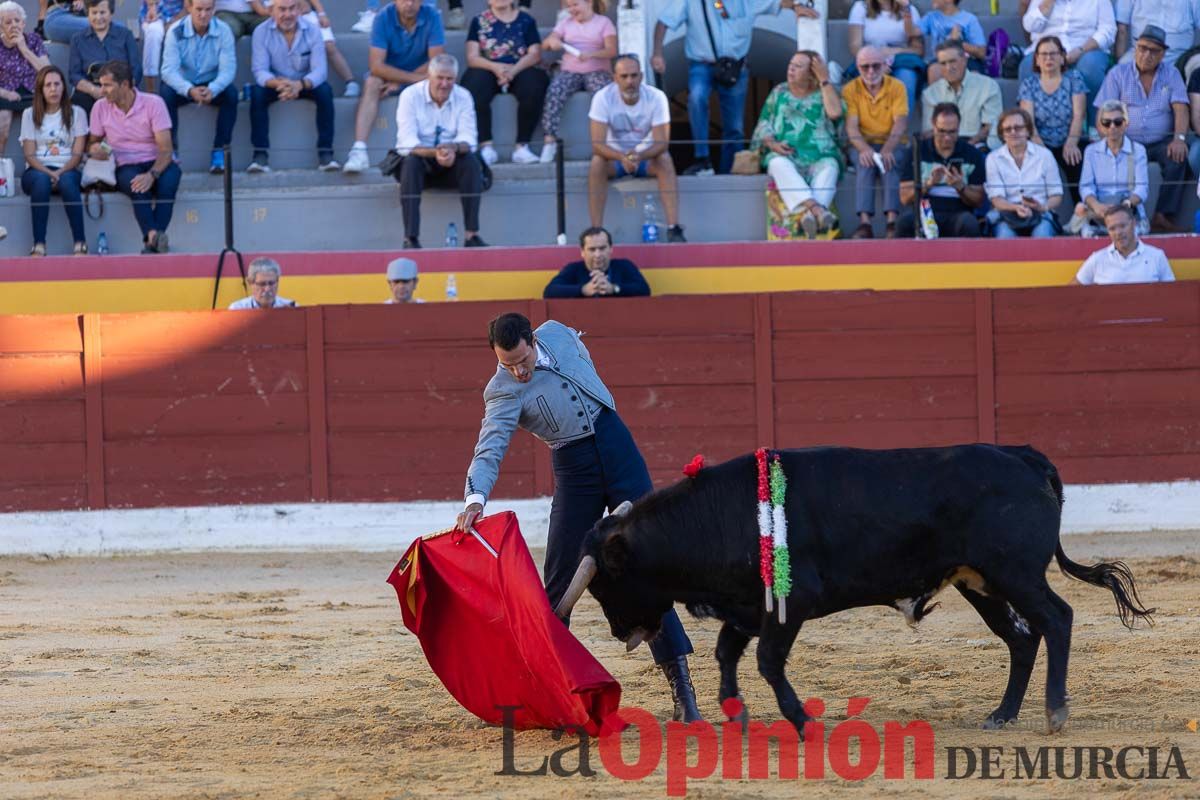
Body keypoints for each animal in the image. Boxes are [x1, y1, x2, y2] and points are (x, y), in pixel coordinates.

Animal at [556, 448, 1156, 734]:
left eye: (605, 583)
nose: (623, 632)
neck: (722, 516)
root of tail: (1024, 456)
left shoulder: (789, 606)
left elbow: (768, 662)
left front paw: (801, 720)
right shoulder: (749, 607)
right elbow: (729, 653)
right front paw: (736, 713)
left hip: (1016, 574)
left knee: (1056, 620)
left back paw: (1055, 712)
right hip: (981, 583)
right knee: (1022, 637)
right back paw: (1002, 715)